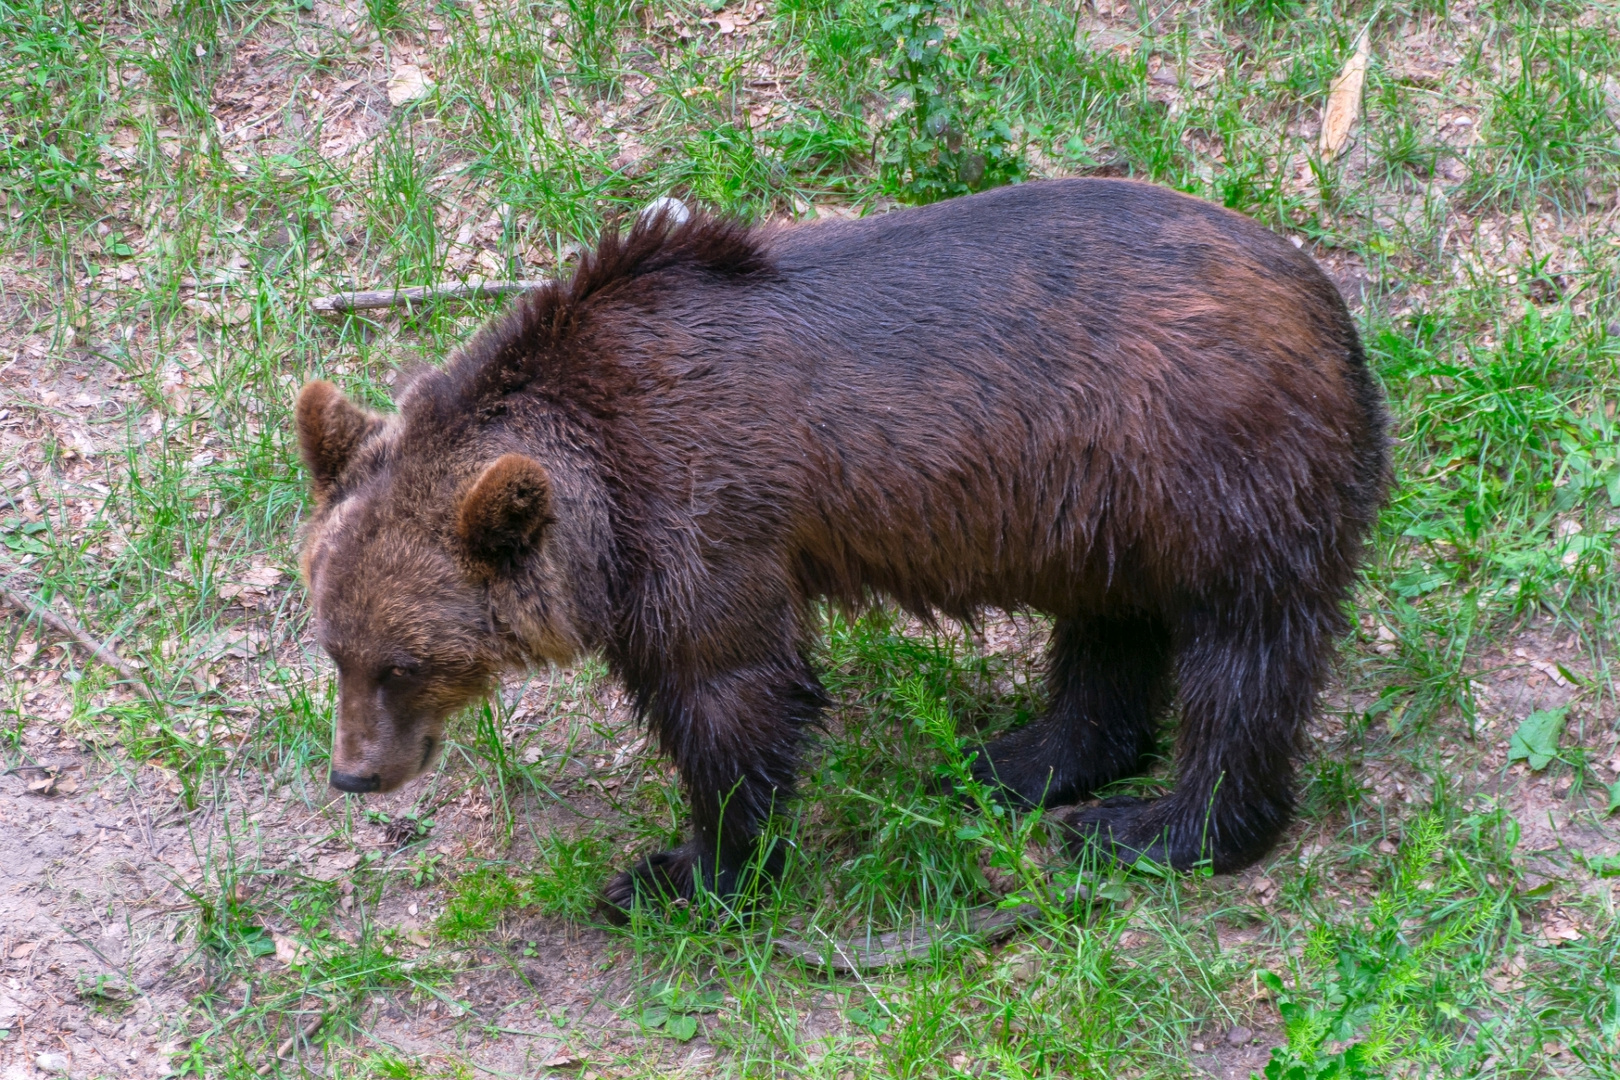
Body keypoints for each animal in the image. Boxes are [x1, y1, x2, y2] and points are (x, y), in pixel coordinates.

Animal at [294, 179, 1393, 919]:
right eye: (334, 650)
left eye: (407, 662)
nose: (355, 774)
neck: (601, 479)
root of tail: (1331, 307)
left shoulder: (705, 512)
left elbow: (732, 697)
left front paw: (684, 874)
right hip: (1109, 511)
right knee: (1111, 633)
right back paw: (1018, 759)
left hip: (1214, 465)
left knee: (1244, 657)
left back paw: (1159, 828)